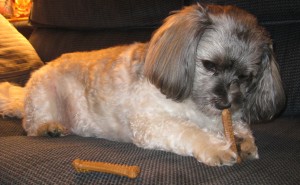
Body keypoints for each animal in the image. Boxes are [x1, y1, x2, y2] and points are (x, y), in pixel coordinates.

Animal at [0, 4, 286, 166]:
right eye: (209, 65)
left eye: (246, 76)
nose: (225, 102)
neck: (193, 105)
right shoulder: (151, 123)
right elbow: (189, 131)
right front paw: (217, 146)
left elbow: (238, 126)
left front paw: (241, 139)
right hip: (44, 97)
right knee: (30, 126)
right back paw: (50, 128)